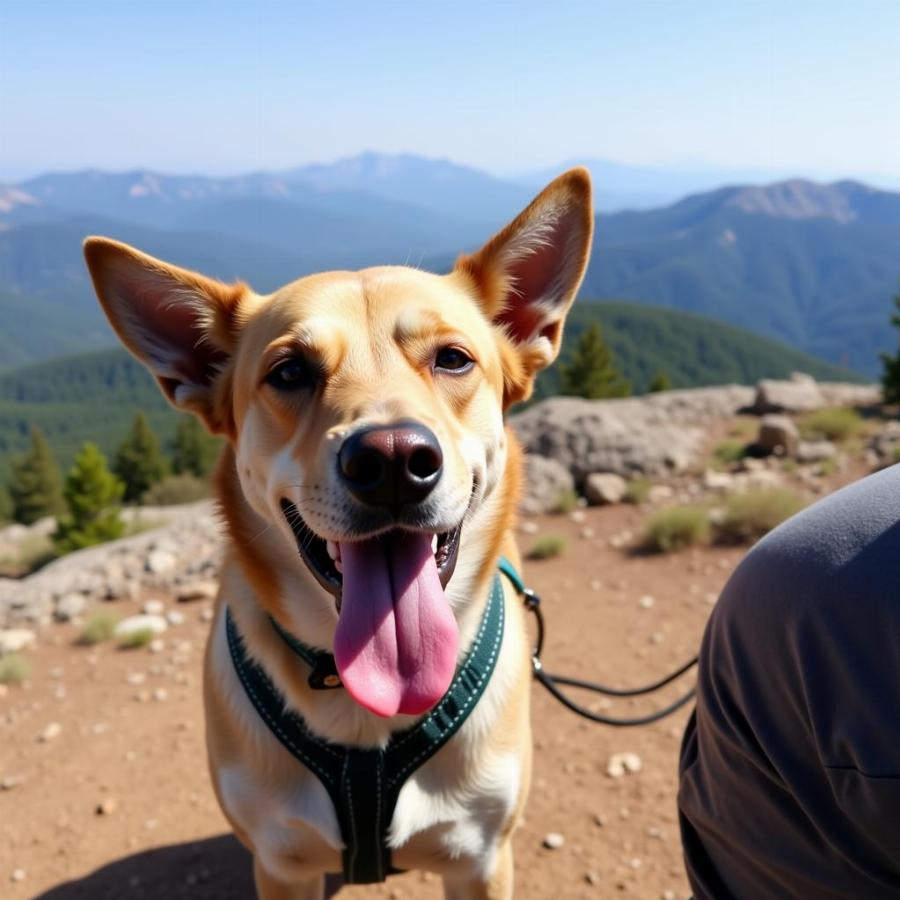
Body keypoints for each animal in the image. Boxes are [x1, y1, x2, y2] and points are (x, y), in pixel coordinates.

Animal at [82, 171, 592, 900]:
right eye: (290, 371)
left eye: (453, 359)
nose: (393, 462)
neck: (367, 710)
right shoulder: (279, 863)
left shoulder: (483, 859)